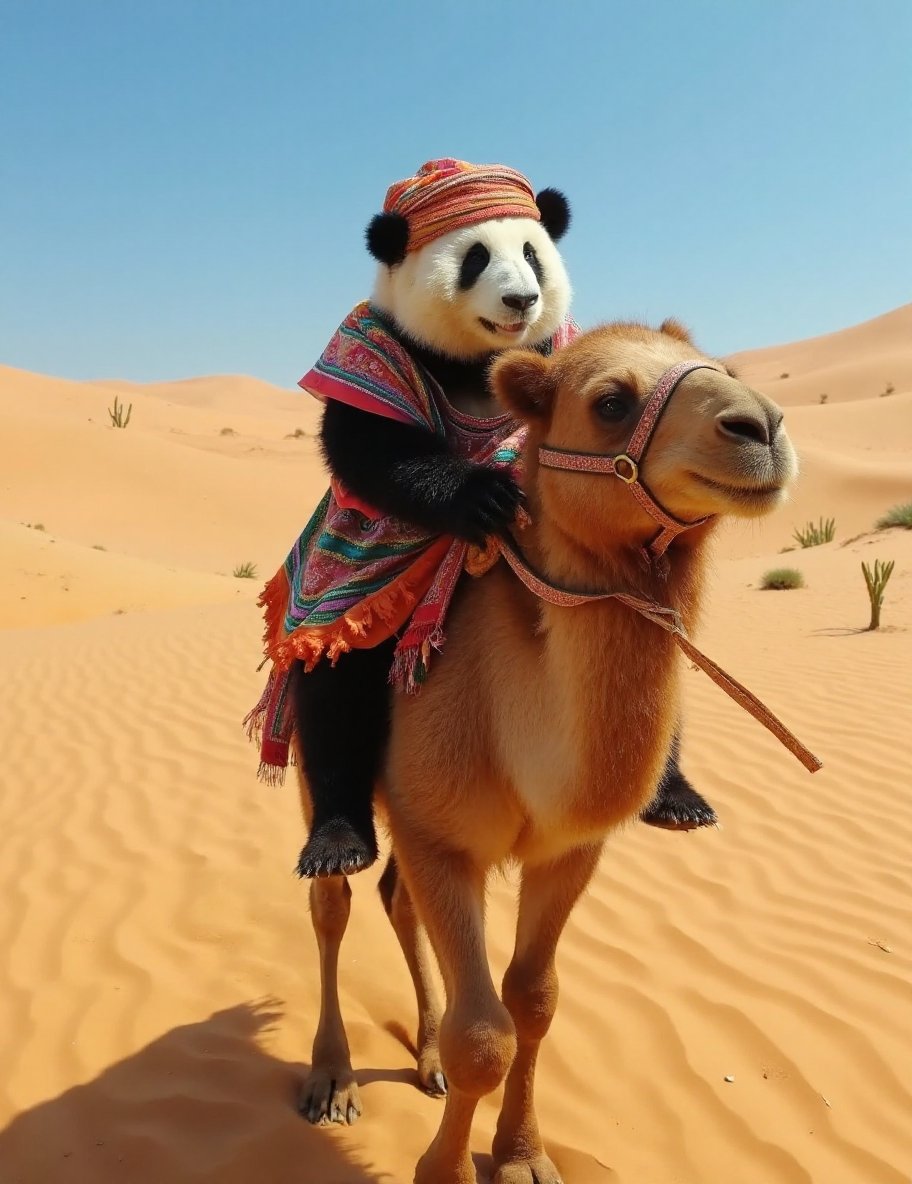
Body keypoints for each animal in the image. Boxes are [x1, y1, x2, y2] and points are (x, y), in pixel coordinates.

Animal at [288, 317, 805, 1184]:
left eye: (728, 370)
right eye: (610, 402)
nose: (760, 426)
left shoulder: (567, 849)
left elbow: (532, 1004)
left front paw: (521, 1155)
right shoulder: (443, 840)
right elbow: (483, 1034)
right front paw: (443, 1170)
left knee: (398, 902)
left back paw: (424, 1058)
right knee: (334, 904)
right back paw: (333, 1076)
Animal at [291, 159, 720, 880]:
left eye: (532, 253)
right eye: (475, 258)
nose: (521, 300)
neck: (471, 364)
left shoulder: (552, 350)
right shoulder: (371, 350)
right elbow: (367, 449)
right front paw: (481, 497)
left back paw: (677, 797)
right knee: (332, 692)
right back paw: (336, 841)